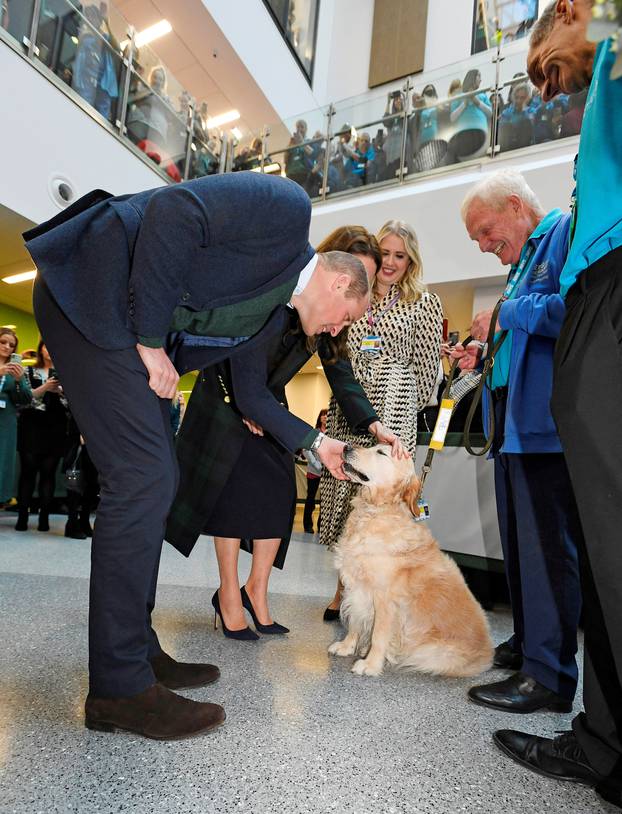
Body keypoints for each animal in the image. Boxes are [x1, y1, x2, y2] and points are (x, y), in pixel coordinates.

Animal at [330, 444, 494, 680]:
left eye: (381, 452)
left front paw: (370, 664)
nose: (346, 447)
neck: (376, 511)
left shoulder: (385, 599)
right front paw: (347, 646)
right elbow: (354, 620)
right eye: (373, 444)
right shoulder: (355, 587)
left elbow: (378, 634)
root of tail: (487, 657)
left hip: (432, 652)